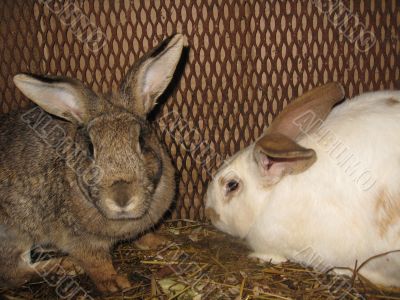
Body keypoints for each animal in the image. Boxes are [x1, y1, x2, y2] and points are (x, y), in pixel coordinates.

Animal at [0, 33, 184, 292]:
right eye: (90, 149)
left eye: (141, 140)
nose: (122, 198)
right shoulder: (80, 241)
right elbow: (96, 262)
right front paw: (114, 283)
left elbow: (143, 235)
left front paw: (163, 243)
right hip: (14, 235)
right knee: (14, 273)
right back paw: (65, 265)